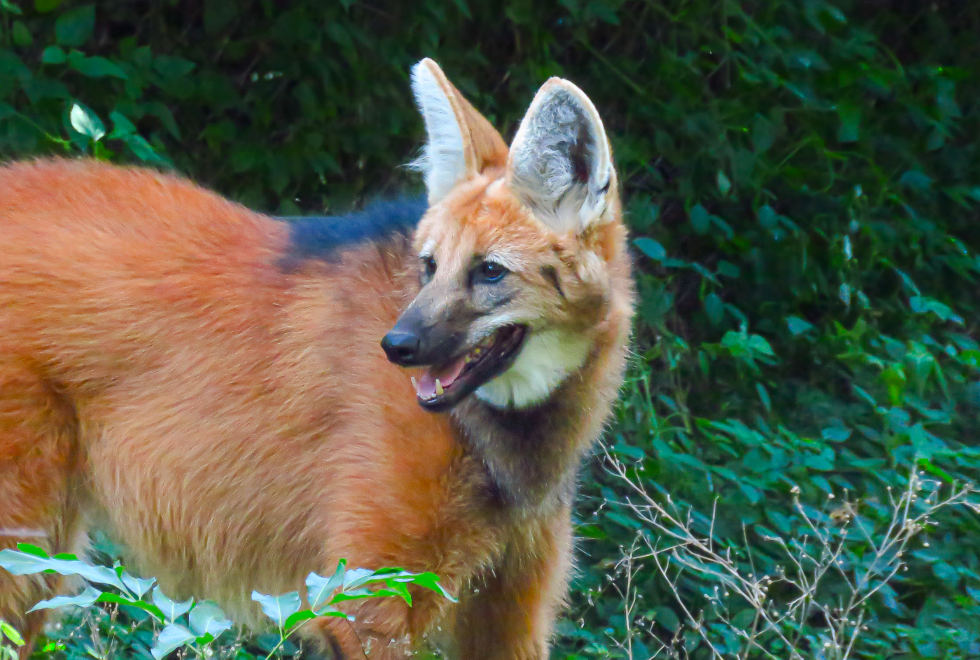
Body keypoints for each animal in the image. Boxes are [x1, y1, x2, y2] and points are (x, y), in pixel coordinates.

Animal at [0, 59, 636, 656]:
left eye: (490, 271)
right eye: (429, 266)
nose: (396, 346)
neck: (504, 447)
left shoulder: (510, 613)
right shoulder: (367, 603)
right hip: (26, 542)